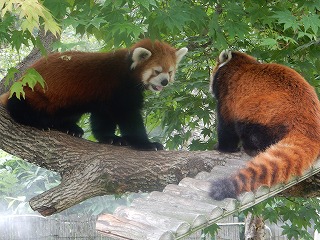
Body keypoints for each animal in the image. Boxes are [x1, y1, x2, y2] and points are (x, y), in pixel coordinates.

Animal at [0, 39, 188, 151]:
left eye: (170, 72)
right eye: (157, 71)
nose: (165, 82)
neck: (127, 71)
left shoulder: (104, 97)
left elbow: (103, 118)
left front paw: (110, 138)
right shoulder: (117, 89)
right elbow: (129, 117)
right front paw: (146, 144)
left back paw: (69, 128)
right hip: (32, 92)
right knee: (20, 105)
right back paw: (38, 122)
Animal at [209, 49, 320, 200]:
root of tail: (311, 127)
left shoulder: (228, 96)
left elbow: (226, 128)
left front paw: (223, 148)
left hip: (267, 112)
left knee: (251, 130)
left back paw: (252, 148)